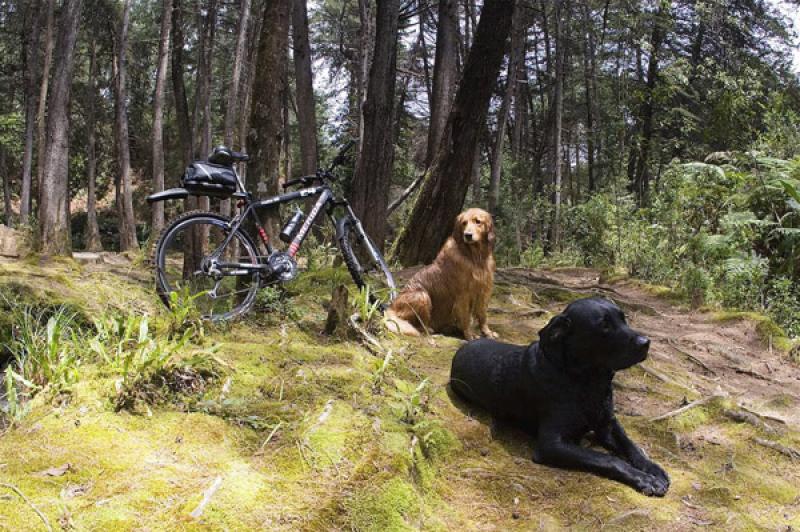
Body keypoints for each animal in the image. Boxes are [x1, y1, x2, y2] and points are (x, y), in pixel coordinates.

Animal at [386, 206, 494, 338]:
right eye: (464, 223)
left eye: (478, 221)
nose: (467, 235)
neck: (474, 257)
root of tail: (391, 307)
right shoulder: (463, 294)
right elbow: (466, 317)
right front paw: (469, 334)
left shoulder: (483, 290)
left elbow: (483, 315)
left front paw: (487, 332)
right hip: (422, 296)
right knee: (417, 325)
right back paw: (430, 330)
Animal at [450, 298, 668, 496]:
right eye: (604, 325)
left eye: (624, 319)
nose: (646, 343)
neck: (586, 383)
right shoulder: (552, 444)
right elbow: (608, 459)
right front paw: (645, 479)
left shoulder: (607, 424)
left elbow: (631, 446)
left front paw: (653, 469)